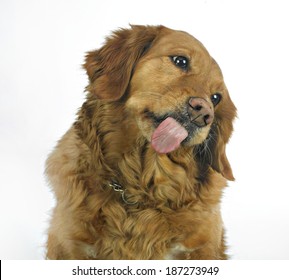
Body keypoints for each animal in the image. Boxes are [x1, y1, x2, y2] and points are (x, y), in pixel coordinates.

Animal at [44, 25, 234, 260]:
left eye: (216, 98)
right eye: (180, 61)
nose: (204, 113)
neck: (141, 187)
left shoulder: (204, 247)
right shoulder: (67, 243)